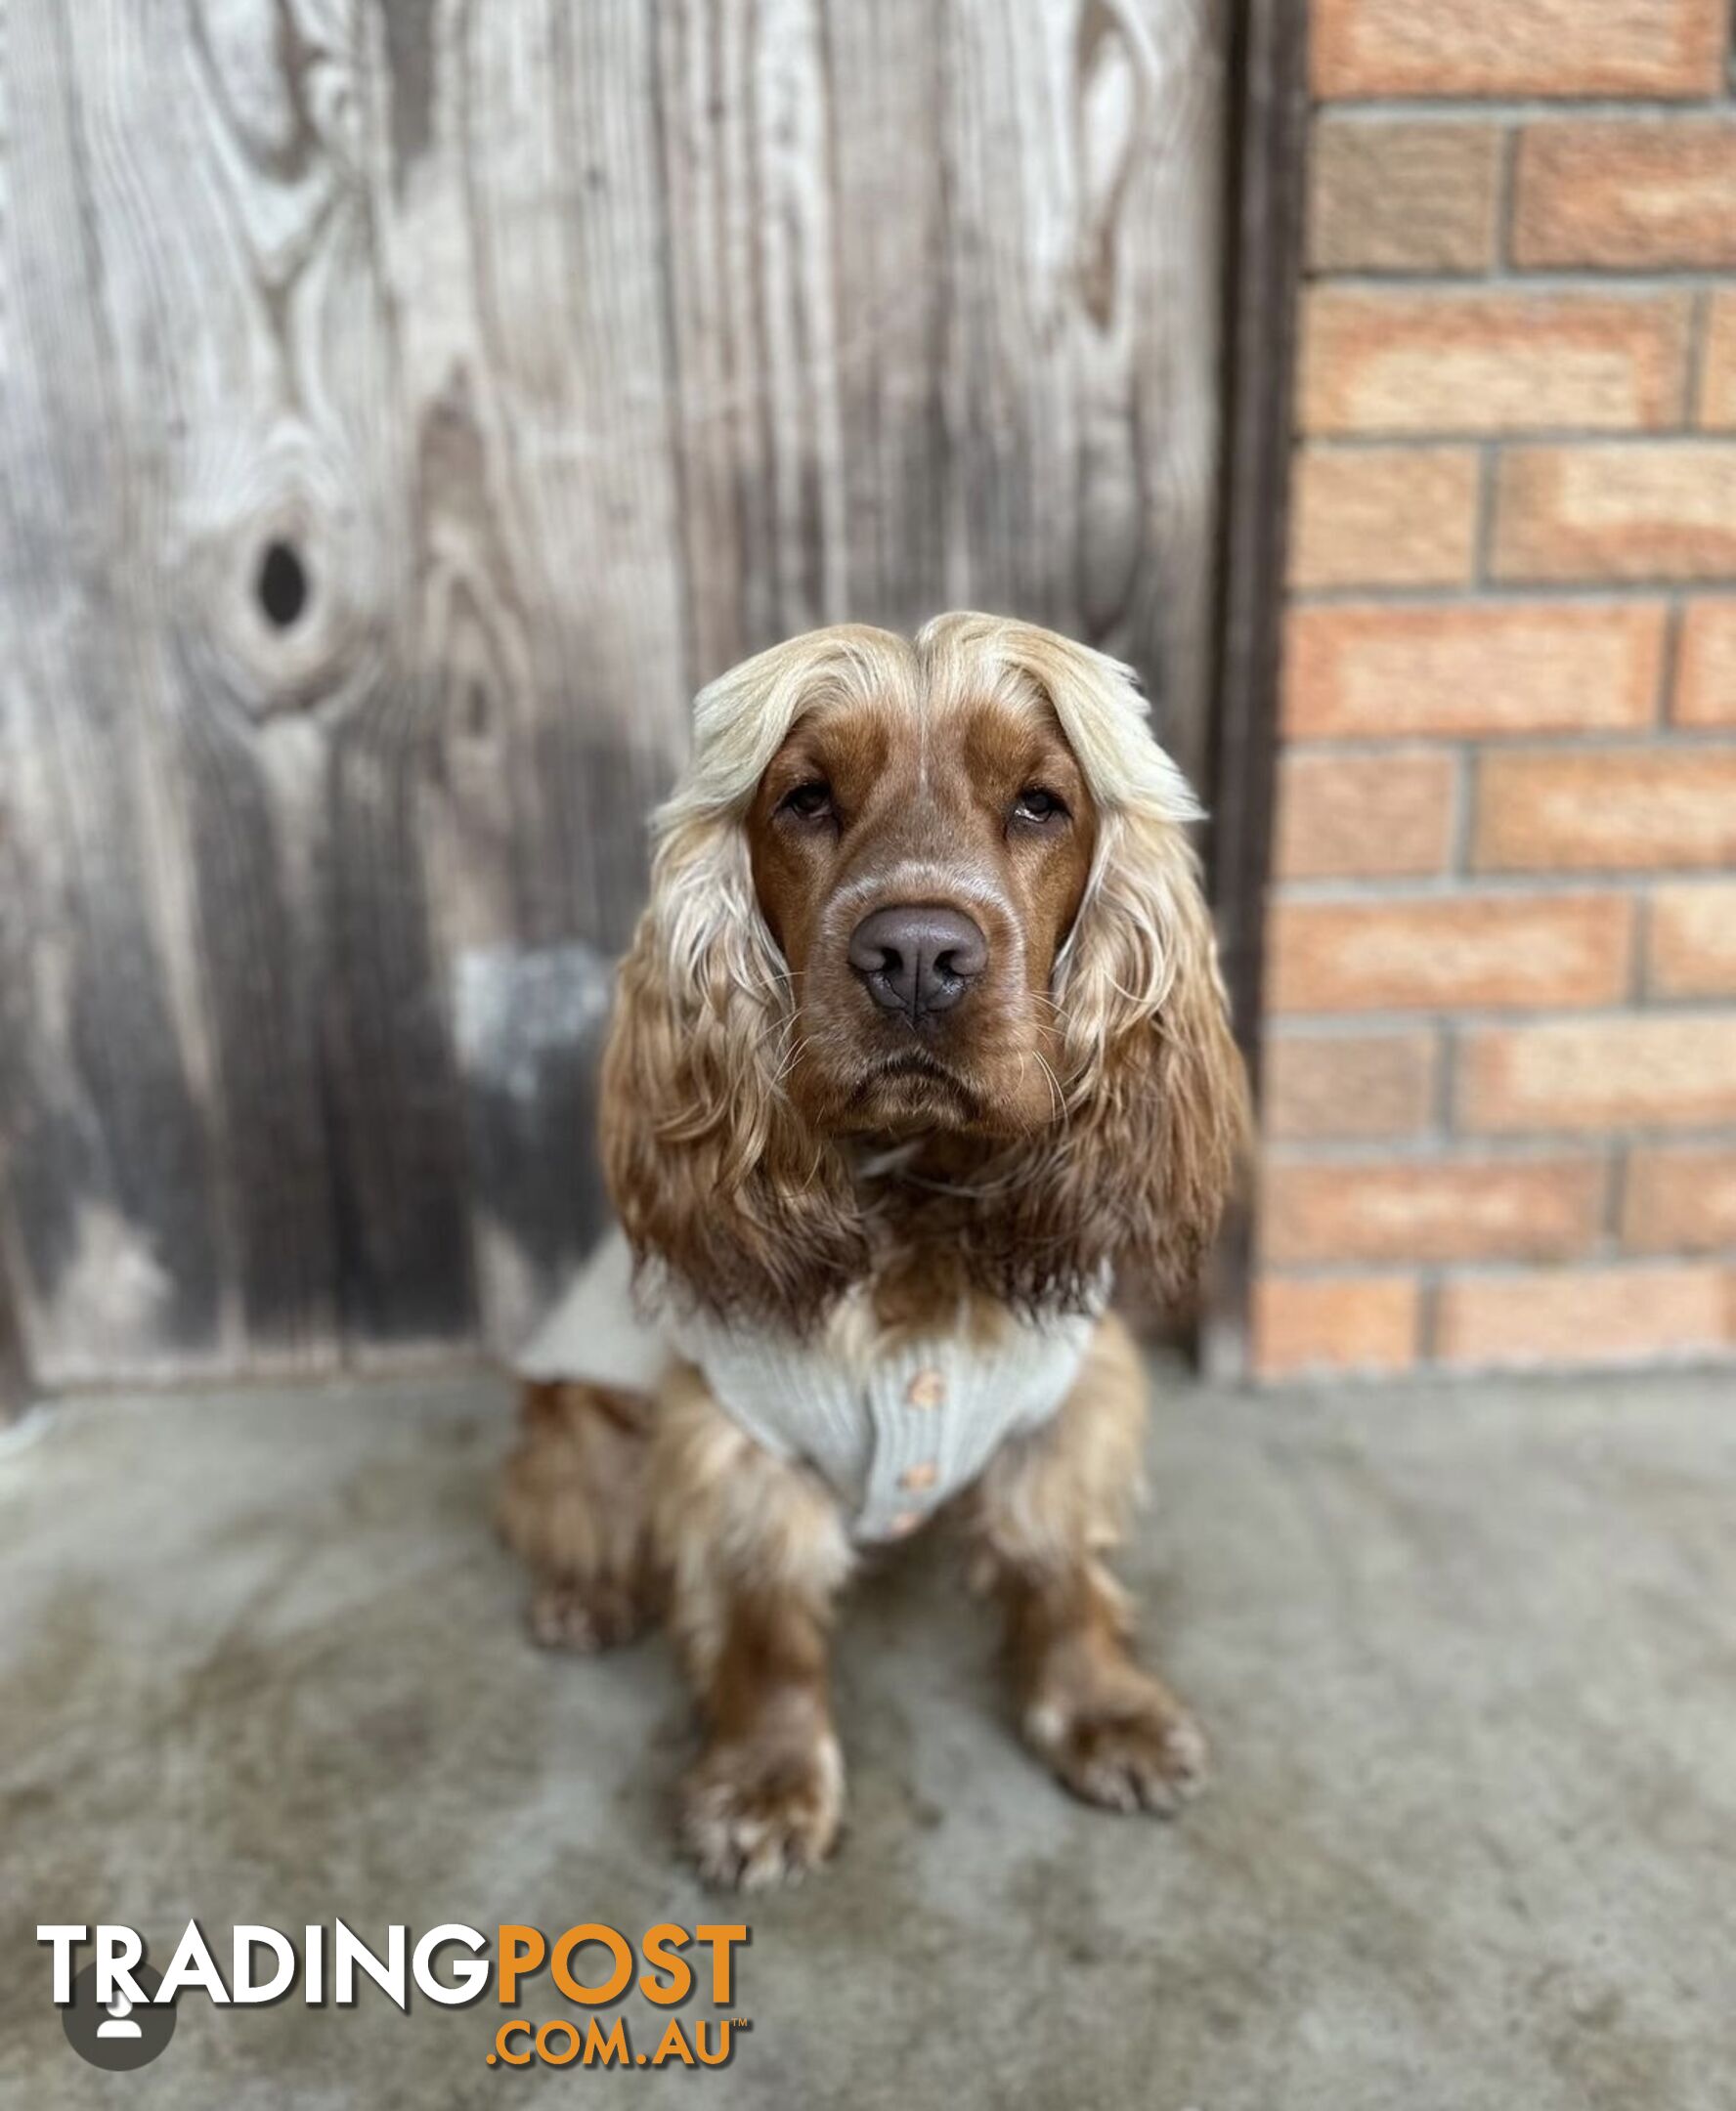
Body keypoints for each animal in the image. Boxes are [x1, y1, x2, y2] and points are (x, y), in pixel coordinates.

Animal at [500, 608, 1250, 1882]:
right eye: (806, 799)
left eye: (1040, 804)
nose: (915, 958)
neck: (917, 1201)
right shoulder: (737, 1440)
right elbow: (767, 1629)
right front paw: (766, 1783)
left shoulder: (1069, 1400)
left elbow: (1059, 1572)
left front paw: (1104, 1712)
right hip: (574, 1408)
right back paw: (586, 1596)